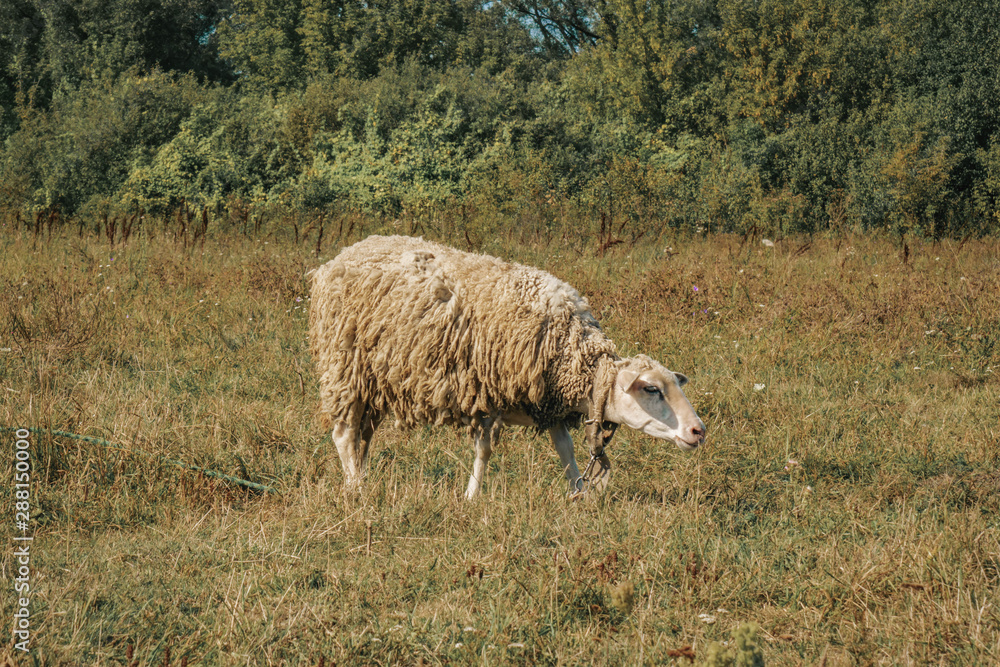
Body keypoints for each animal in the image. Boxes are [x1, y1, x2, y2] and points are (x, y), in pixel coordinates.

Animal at [308, 235, 706, 498]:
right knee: (343, 433)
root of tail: (340, 256)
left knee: (363, 434)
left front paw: (579, 494)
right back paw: (356, 489)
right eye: (651, 389)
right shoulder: (487, 394)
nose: (698, 431)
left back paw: (361, 474)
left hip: (374, 379)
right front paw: (471, 498)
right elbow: (483, 452)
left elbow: (565, 450)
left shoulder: (548, 403)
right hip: (344, 365)